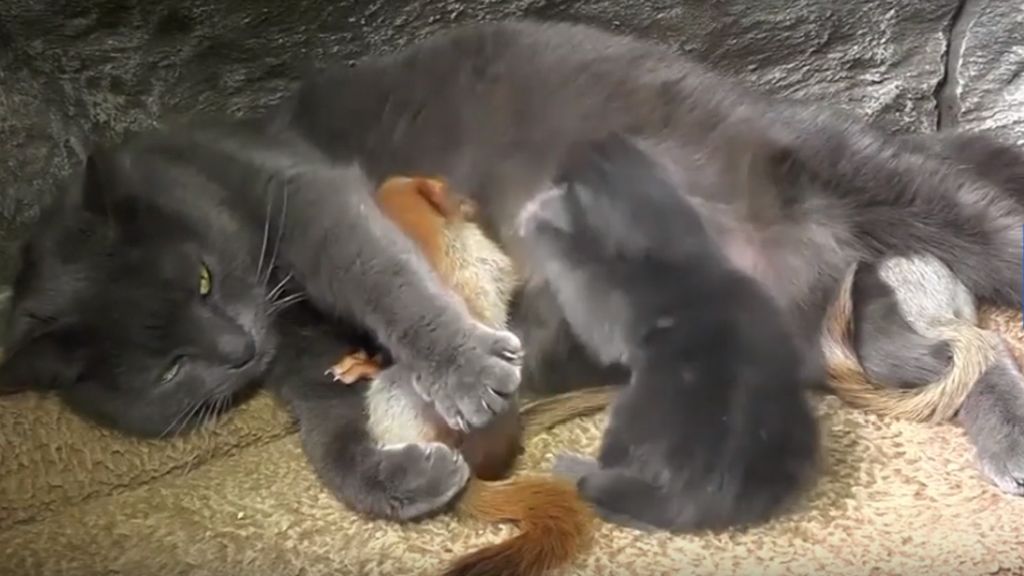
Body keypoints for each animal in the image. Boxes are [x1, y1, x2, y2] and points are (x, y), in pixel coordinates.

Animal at [328, 176, 616, 576]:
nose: (470, 201)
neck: (428, 238)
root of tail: (472, 469)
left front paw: (362, 361)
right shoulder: (489, 260)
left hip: (388, 398)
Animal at [519, 133, 818, 531]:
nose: (546, 183)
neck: (673, 252)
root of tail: (706, 495)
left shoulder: (599, 301)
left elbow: (571, 272)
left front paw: (536, 218)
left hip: (629, 412)